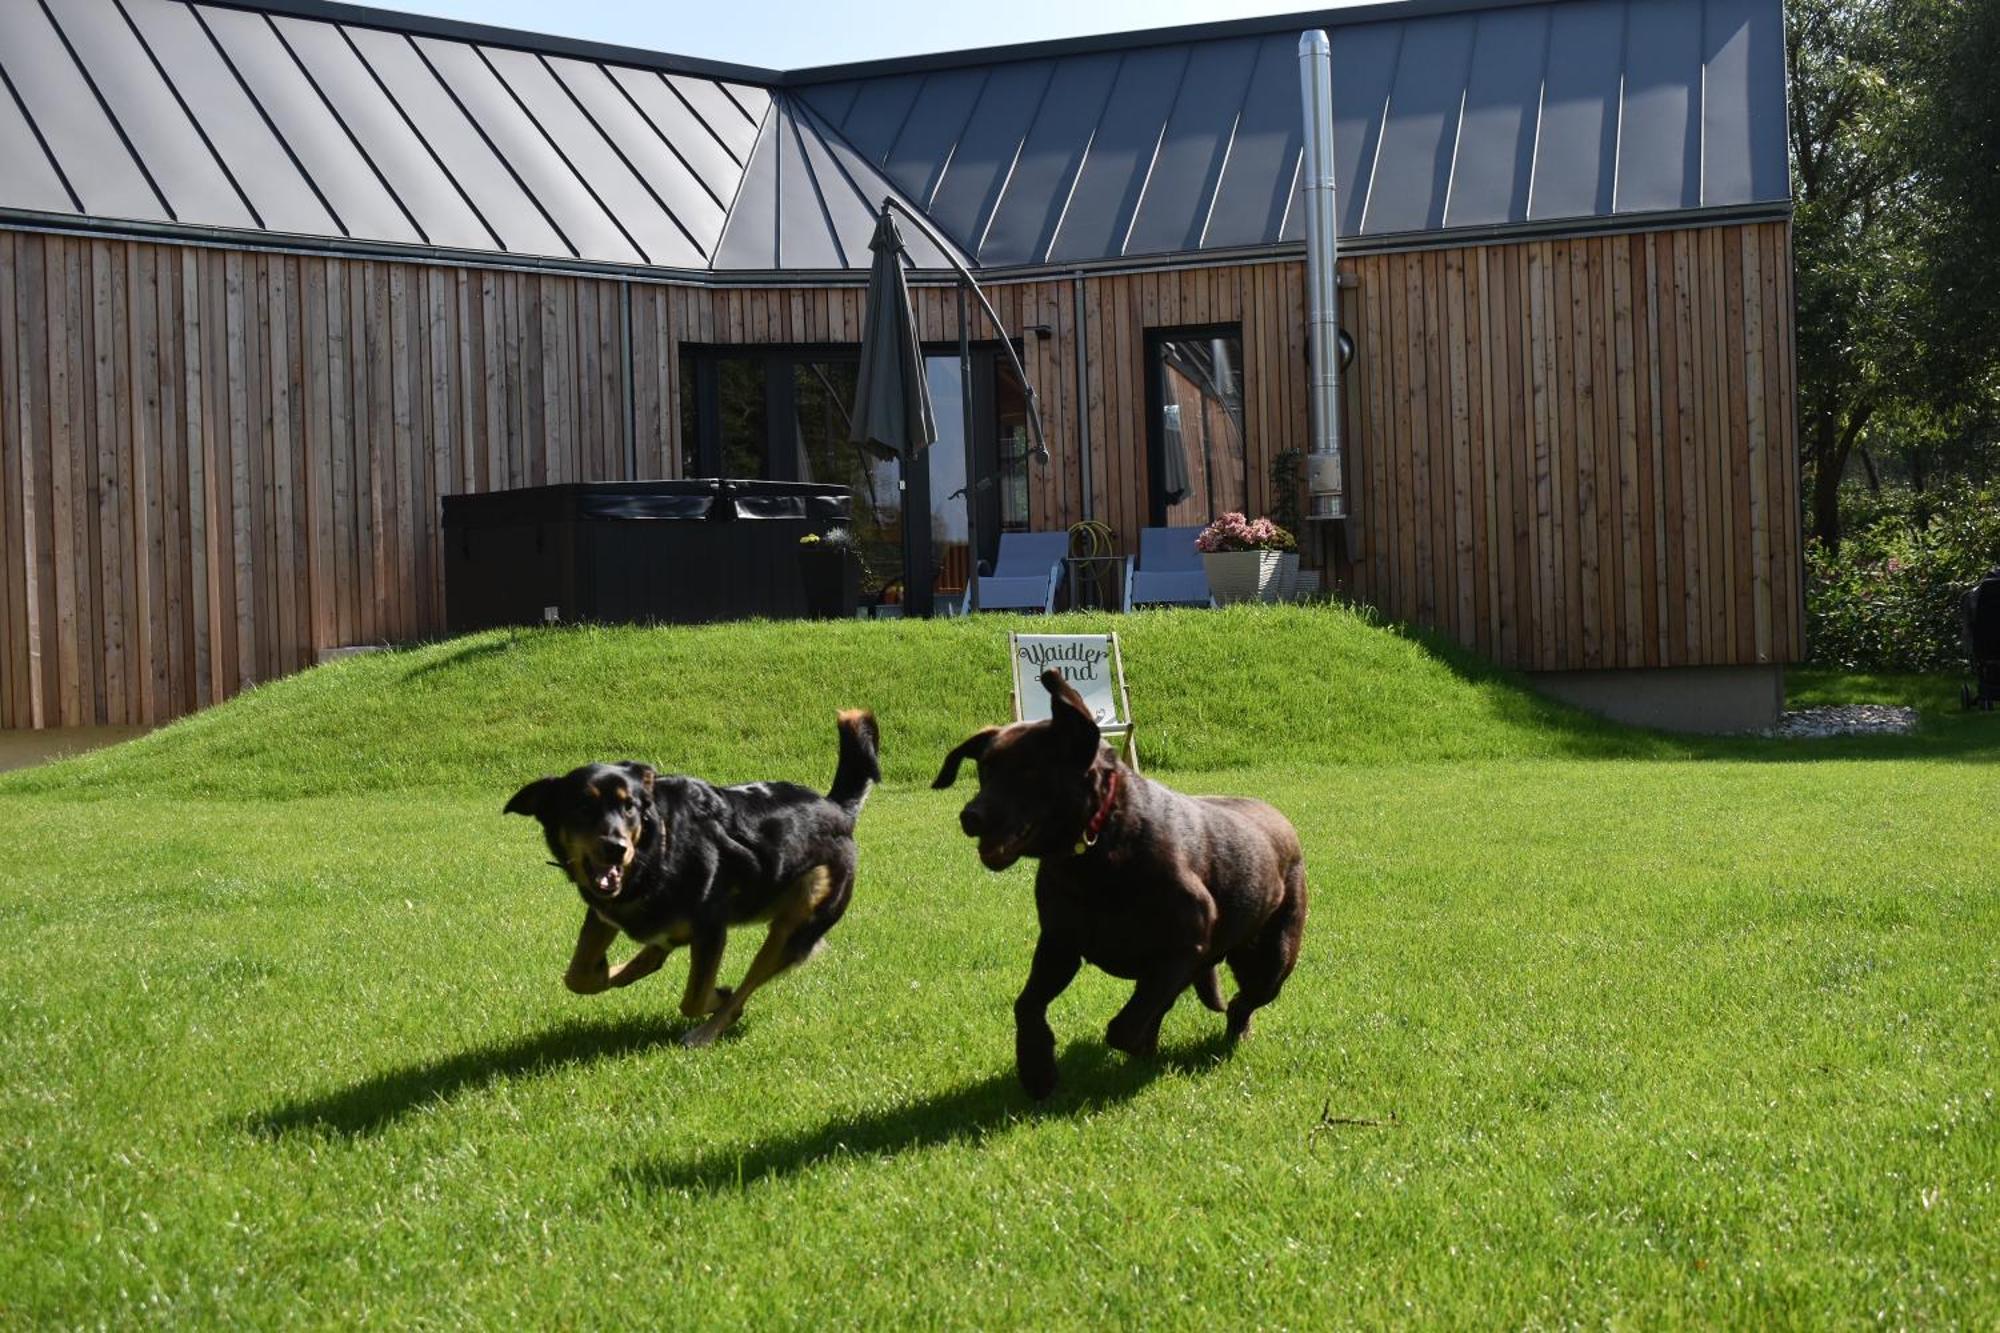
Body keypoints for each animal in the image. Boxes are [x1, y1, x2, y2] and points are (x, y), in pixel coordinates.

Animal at [508, 712, 876, 1040]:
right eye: (583, 807)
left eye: (629, 807)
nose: (616, 848)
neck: (658, 848)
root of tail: (838, 809)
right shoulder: (604, 913)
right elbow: (577, 977)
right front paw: (604, 972)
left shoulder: (711, 930)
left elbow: (694, 999)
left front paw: (717, 998)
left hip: (796, 924)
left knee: (745, 985)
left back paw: (705, 1032)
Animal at [936, 668, 1312, 1096]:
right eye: (984, 772)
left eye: (1030, 772)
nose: (970, 816)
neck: (1098, 848)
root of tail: (1280, 819)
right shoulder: (1060, 944)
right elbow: (1028, 1005)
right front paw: (1037, 1069)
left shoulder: (1184, 943)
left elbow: (1124, 1027)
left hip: (1272, 959)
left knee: (1242, 1002)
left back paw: (1234, 1033)